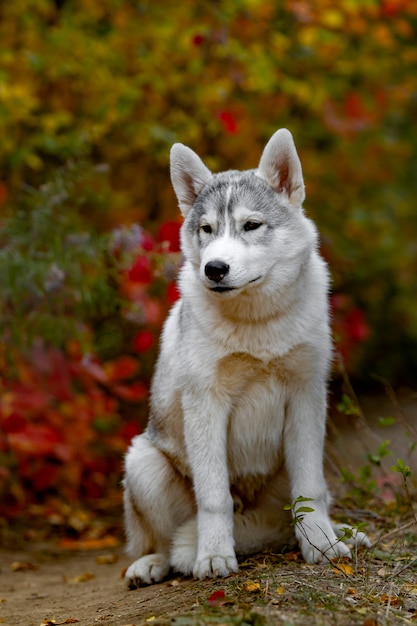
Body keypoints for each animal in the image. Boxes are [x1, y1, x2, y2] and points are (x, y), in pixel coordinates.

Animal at [122, 127, 368, 584]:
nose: (214, 269)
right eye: (206, 229)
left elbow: (310, 492)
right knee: (161, 541)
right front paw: (214, 557)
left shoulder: (306, 397)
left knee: (306, 507)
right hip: (143, 463)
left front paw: (322, 547)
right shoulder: (206, 404)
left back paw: (340, 531)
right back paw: (153, 564)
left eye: (250, 225)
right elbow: (214, 498)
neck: (257, 325)